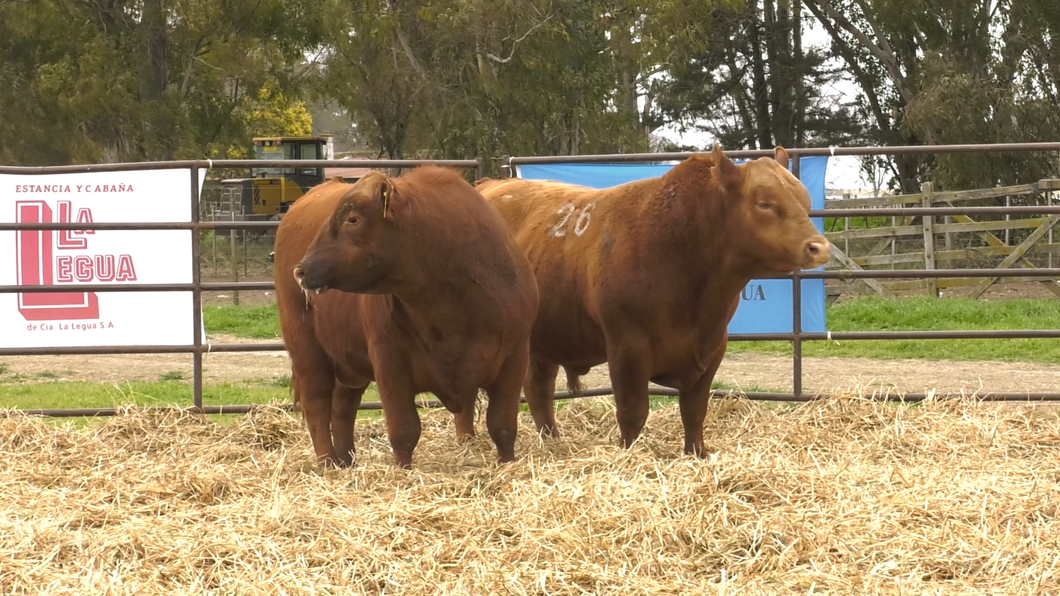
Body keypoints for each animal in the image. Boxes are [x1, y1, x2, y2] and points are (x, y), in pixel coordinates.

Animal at [273, 164, 538, 466]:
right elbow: (404, 430)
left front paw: (507, 464)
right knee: (316, 402)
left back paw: (346, 461)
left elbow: (502, 426)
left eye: (353, 219)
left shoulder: (514, 358)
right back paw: (328, 462)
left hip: (347, 360)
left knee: (343, 406)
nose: (301, 270)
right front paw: (403, 469)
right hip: (305, 346)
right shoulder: (389, 361)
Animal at [476, 146, 831, 451]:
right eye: (764, 202)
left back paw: (553, 441)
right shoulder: (627, 347)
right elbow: (633, 414)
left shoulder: (713, 347)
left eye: (804, 199)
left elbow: (694, 412)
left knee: (538, 389)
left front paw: (697, 454)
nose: (818, 247)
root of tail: (490, 183)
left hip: (544, 338)